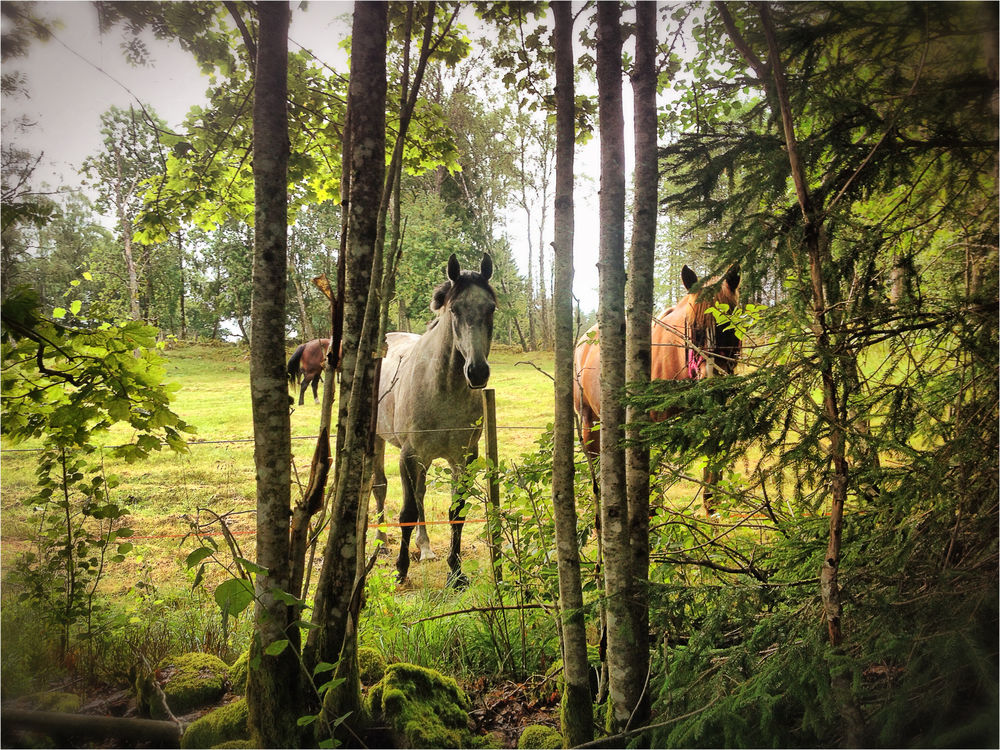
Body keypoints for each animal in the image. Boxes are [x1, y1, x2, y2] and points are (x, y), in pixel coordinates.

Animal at [372, 253, 496, 587]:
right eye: (454, 310)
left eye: (491, 308)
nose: (477, 372)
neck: (442, 389)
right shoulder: (409, 455)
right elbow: (406, 512)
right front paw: (401, 570)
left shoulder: (462, 458)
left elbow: (457, 511)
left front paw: (456, 572)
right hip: (379, 442)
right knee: (380, 487)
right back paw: (382, 544)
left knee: (420, 493)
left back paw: (425, 547)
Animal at [574, 264, 741, 510]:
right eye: (693, 326)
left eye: (729, 327)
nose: (711, 380)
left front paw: (714, 507)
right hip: (588, 419)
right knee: (594, 461)